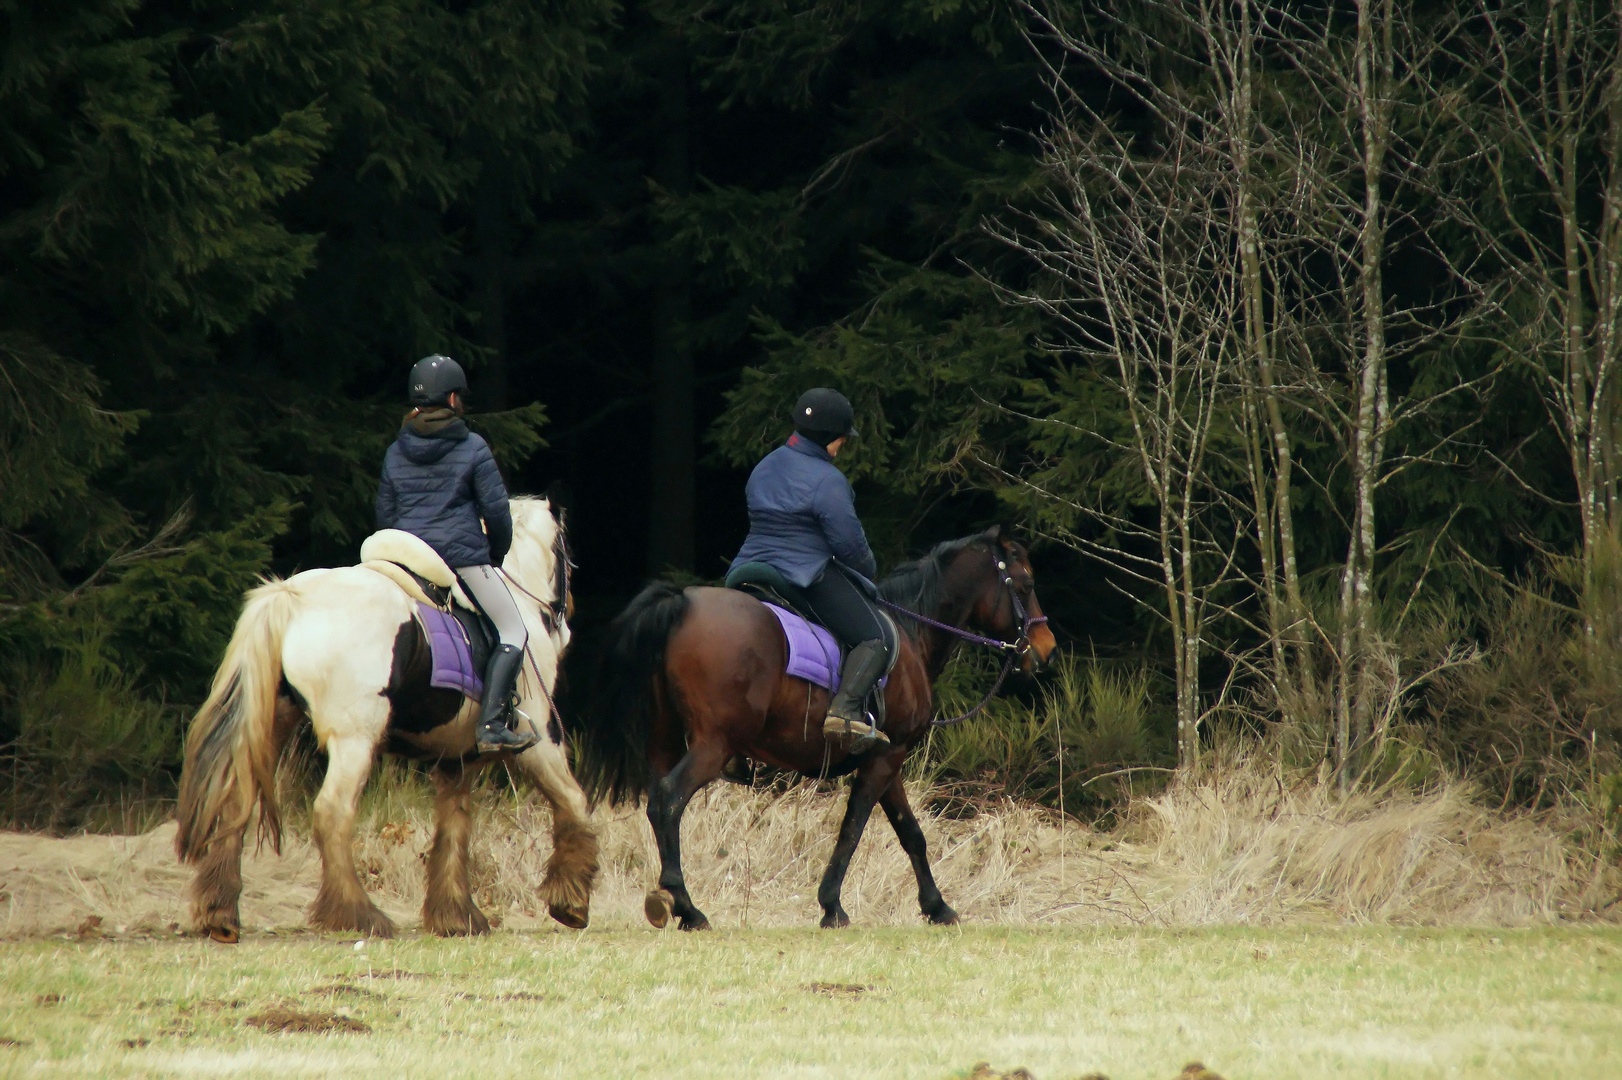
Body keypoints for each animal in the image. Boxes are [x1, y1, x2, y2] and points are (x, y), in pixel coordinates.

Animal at [172, 492, 603, 934]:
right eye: (567, 557)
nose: (565, 625)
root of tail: (292, 596)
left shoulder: (456, 761)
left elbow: (454, 829)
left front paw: (455, 915)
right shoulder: (541, 744)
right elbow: (573, 801)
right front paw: (570, 901)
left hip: (272, 725)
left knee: (236, 802)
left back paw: (219, 912)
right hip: (354, 740)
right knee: (332, 814)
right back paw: (359, 914)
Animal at [577, 522, 1057, 927]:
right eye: (1027, 585)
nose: (1047, 649)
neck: (911, 632)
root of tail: (683, 602)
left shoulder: (888, 759)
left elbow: (911, 834)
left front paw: (937, 907)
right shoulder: (886, 758)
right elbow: (854, 828)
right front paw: (833, 906)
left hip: (665, 741)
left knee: (659, 806)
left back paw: (668, 903)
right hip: (712, 746)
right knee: (668, 800)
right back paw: (688, 908)